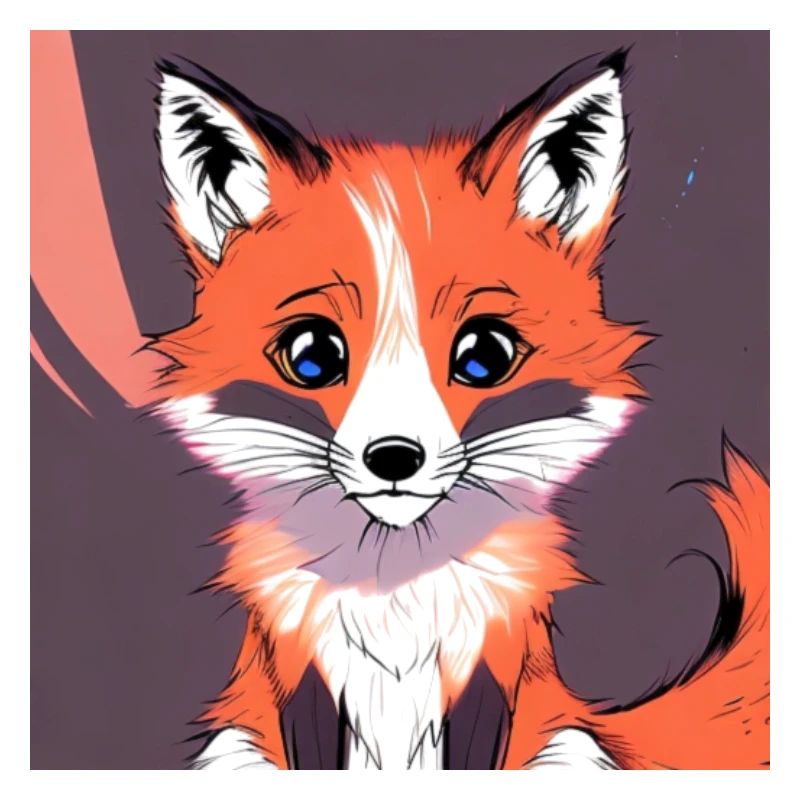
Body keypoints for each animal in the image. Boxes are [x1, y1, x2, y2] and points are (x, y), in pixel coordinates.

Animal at [140, 50, 770, 770]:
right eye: (312, 355)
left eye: (483, 355)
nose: (394, 458)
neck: (394, 594)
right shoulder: (301, 673)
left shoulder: (491, 672)